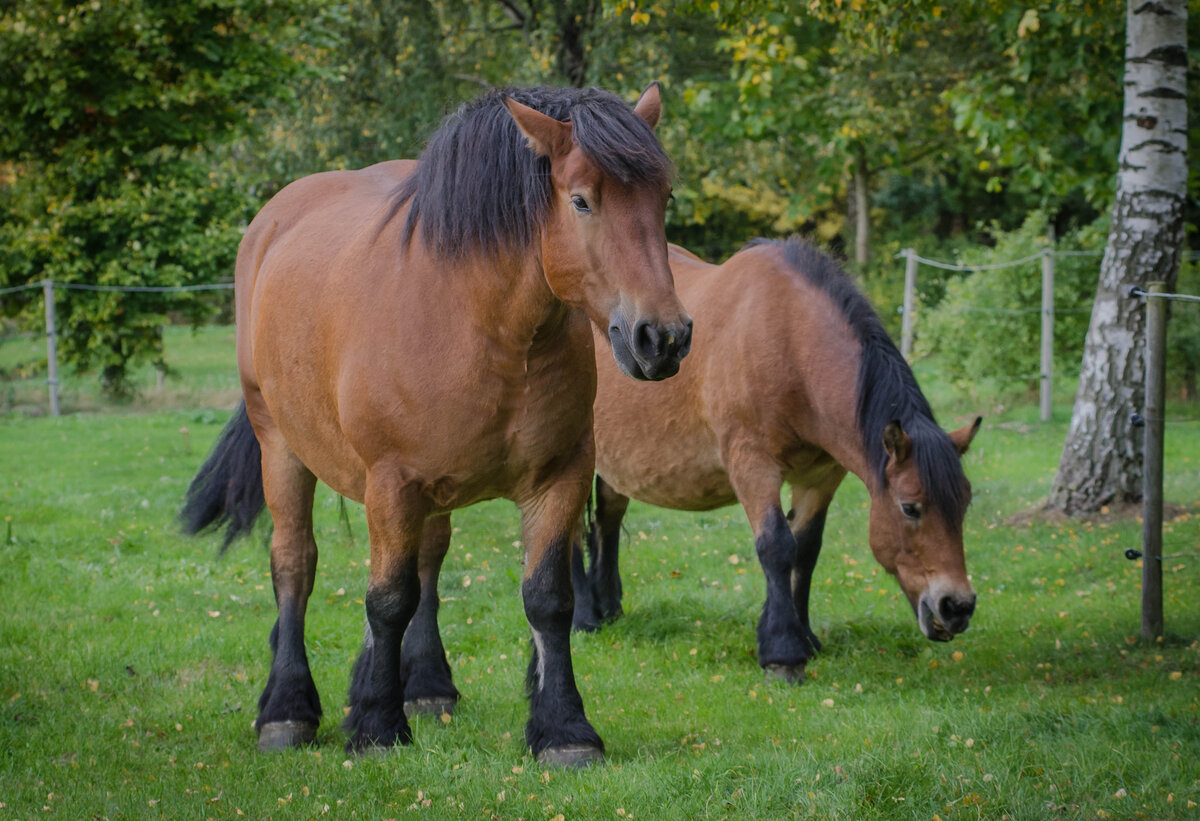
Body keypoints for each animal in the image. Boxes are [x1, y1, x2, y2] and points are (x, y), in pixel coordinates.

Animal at [182, 83, 700, 763]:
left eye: (663, 198)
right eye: (582, 200)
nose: (661, 338)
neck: (480, 325)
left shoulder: (559, 476)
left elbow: (547, 600)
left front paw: (564, 729)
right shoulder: (392, 483)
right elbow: (386, 599)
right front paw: (376, 726)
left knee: (426, 562)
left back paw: (425, 685)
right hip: (283, 449)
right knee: (296, 564)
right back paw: (287, 710)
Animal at [573, 237, 984, 681]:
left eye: (964, 505)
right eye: (911, 508)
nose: (957, 607)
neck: (789, 343)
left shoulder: (821, 476)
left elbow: (805, 549)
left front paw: (806, 637)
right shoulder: (752, 465)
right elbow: (776, 546)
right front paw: (783, 652)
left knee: (607, 519)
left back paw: (609, 606)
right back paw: (584, 617)